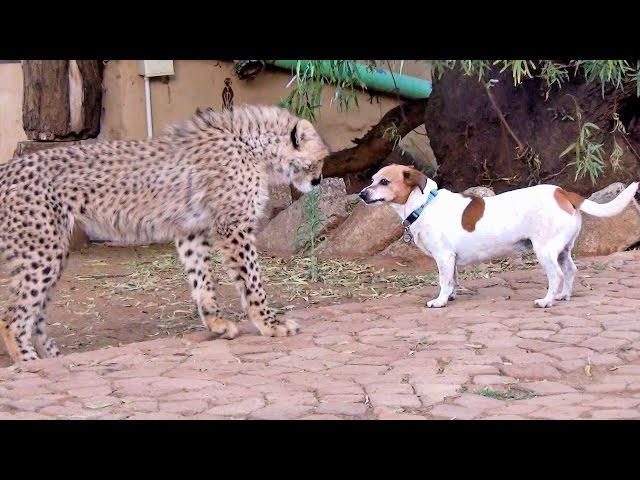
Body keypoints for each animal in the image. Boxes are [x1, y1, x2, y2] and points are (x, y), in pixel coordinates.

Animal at [362, 164, 636, 308]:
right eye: (372, 179)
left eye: (384, 181)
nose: (362, 194)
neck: (423, 204)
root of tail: (563, 193)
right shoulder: (452, 260)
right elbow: (453, 280)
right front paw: (450, 296)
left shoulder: (443, 257)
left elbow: (444, 281)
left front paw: (440, 301)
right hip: (562, 250)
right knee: (570, 270)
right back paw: (563, 295)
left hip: (545, 251)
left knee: (556, 275)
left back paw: (547, 300)